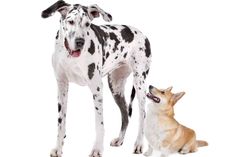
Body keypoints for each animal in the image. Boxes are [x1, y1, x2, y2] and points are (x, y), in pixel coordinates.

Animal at [41, 0, 151, 156]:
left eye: (87, 24)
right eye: (70, 21)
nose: (80, 41)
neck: (70, 57)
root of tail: (142, 34)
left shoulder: (96, 88)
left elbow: (99, 123)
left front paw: (97, 148)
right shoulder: (62, 86)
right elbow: (61, 122)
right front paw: (58, 147)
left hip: (139, 84)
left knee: (142, 114)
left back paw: (139, 144)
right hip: (115, 86)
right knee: (125, 115)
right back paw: (120, 139)